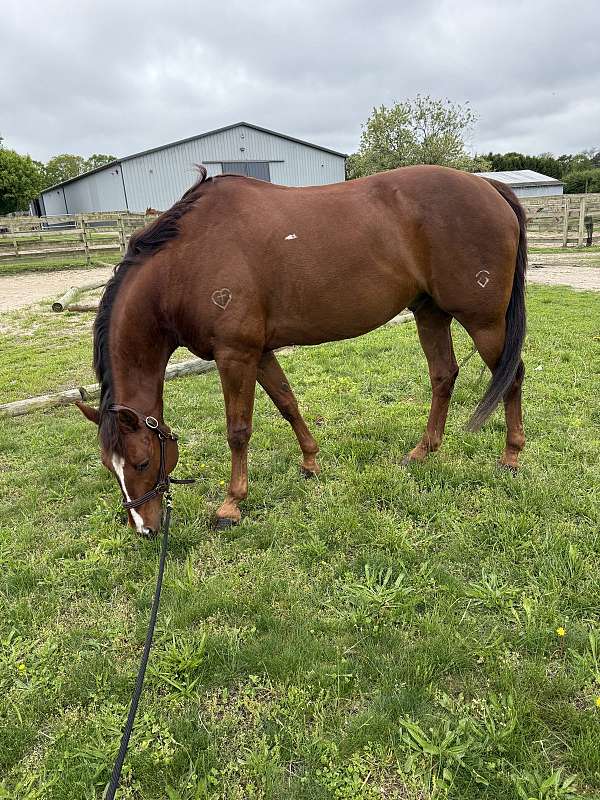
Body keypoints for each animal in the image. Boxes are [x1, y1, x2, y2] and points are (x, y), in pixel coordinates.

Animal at [76, 164, 527, 535]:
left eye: (142, 462)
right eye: (110, 467)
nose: (144, 529)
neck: (185, 262)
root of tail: (487, 185)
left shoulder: (235, 355)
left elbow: (238, 430)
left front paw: (231, 505)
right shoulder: (259, 353)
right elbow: (287, 403)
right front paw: (310, 462)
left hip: (484, 322)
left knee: (511, 375)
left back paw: (511, 456)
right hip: (430, 313)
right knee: (443, 375)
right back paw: (423, 451)